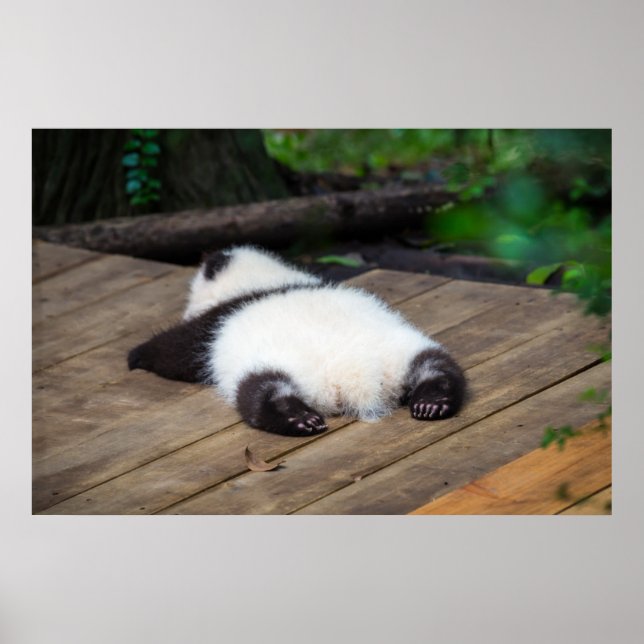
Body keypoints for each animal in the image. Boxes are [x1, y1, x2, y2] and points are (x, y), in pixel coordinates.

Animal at [128, 245, 466, 436]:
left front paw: (137, 356)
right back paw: (432, 401)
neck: (264, 280)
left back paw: (297, 419)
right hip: (401, 349)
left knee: (260, 391)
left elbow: (176, 351)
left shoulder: (214, 323)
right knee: (437, 366)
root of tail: (355, 376)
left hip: (273, 365)